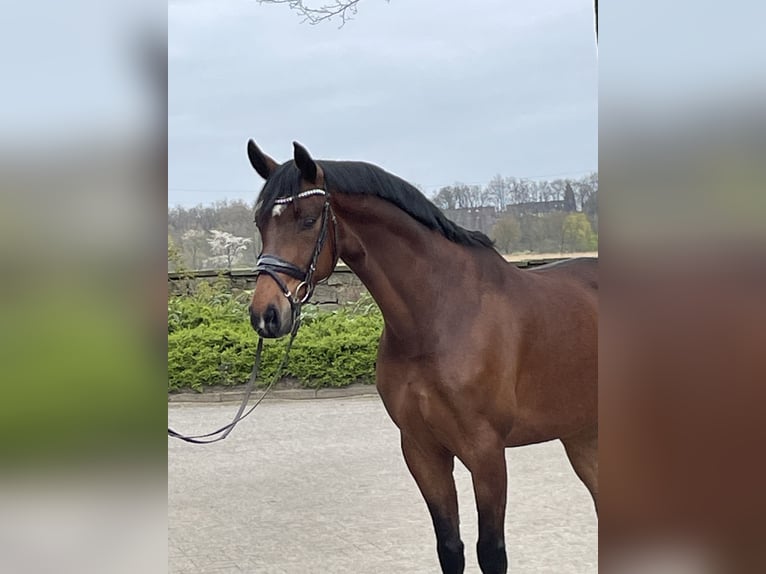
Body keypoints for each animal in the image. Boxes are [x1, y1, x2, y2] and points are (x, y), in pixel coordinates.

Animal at [246, 140, 598, 574]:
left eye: (308, 220)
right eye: (261, 222)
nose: (266, 314)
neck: (438, 317)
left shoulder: (486, 453)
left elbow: (491, 552)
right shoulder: (421, 450)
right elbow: (450, 547)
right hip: (582, 434)